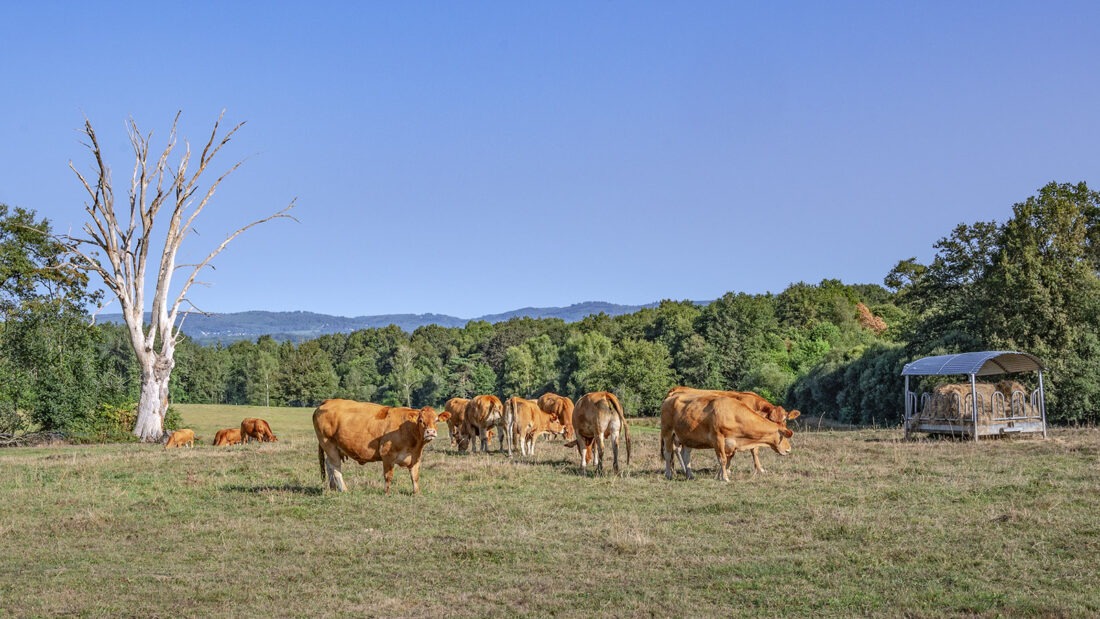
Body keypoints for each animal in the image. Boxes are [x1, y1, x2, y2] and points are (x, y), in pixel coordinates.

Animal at [312, 402, 448, 494]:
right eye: (420, 420)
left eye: (436, 420)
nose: (430, 432)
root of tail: (327, 401)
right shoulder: (387, 455)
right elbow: (388, 476)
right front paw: (386, 493)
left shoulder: (415, 457)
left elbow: (415, 476)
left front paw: (416, 493)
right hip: (328, 444)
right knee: (335, 467)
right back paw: (344, 489)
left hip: (334, 448)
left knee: (329, 464)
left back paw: (333, 488)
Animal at [660, 387, 800, 474]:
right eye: (771, 419)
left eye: (785, 420)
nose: (784, 431)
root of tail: (676, 390)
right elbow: (753, 450)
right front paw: (759, 469)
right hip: (671, 432)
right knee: (673, 450)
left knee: (679, 450)